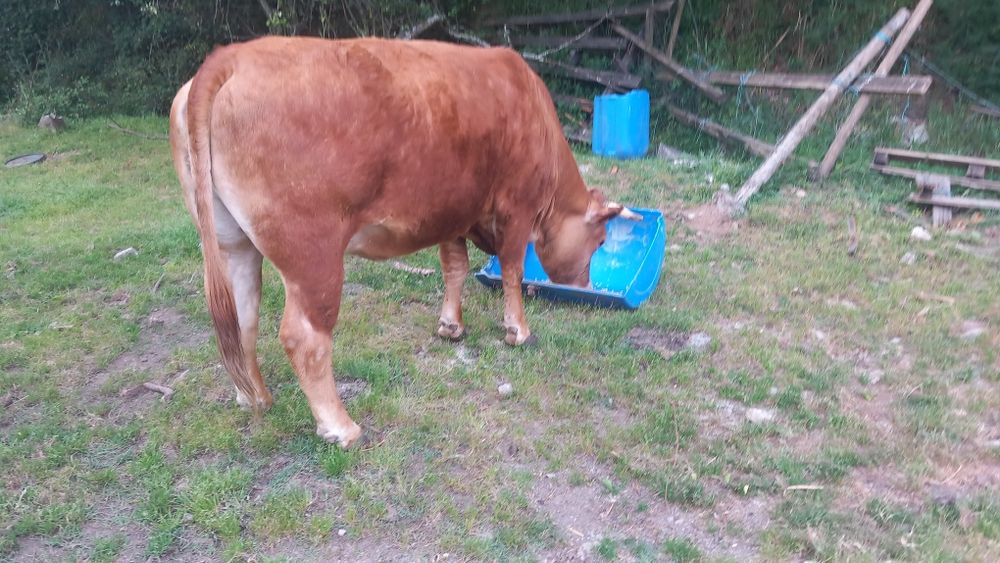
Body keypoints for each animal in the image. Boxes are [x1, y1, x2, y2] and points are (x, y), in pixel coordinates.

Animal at [169, 36, 638, 448]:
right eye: (600, 241)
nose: (585, 285)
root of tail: (231, 57)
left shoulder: (453, 212)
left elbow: (454, 267)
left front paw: (451, 326)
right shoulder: (517, 208)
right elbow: (512, 270)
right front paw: (518, 331)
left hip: (233, 243)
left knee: (241, 319)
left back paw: (256, 398)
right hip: (313, 253)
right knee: (305, 337)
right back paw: (341, 427)